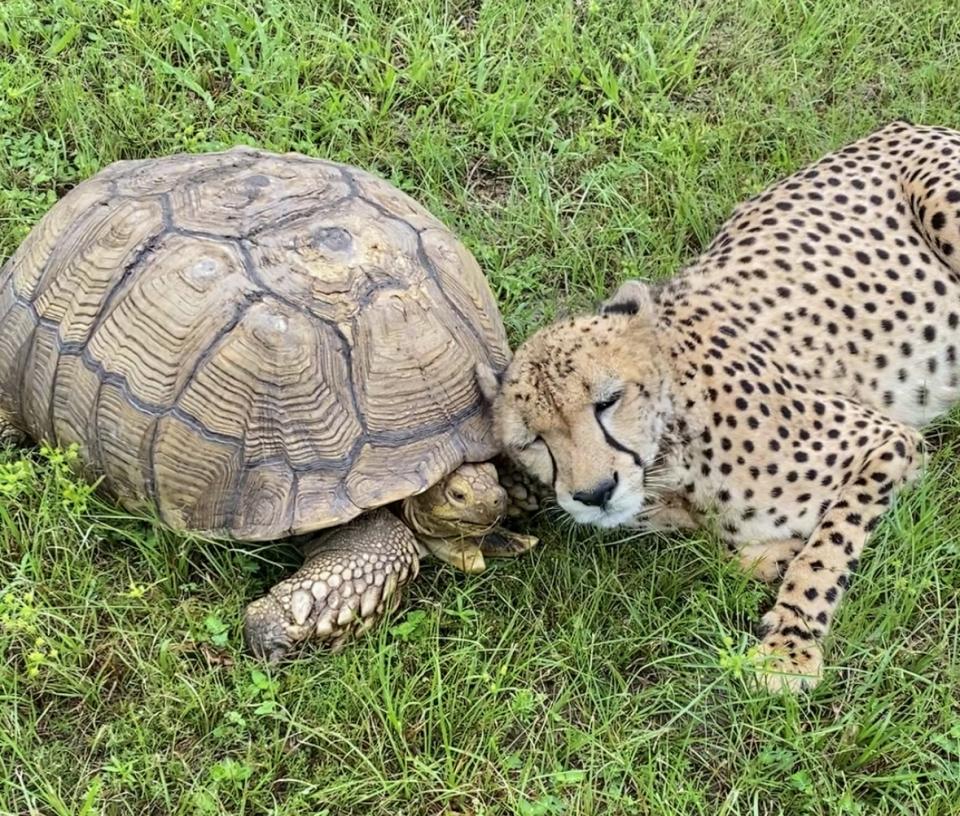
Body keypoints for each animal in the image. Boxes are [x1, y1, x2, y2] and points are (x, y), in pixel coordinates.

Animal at [480, 121, 960, 692]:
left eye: (608, 400)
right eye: (534, 440)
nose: (595, 494)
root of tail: (910, 125)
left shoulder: (886, 441)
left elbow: (825, 551)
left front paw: (789, 647)